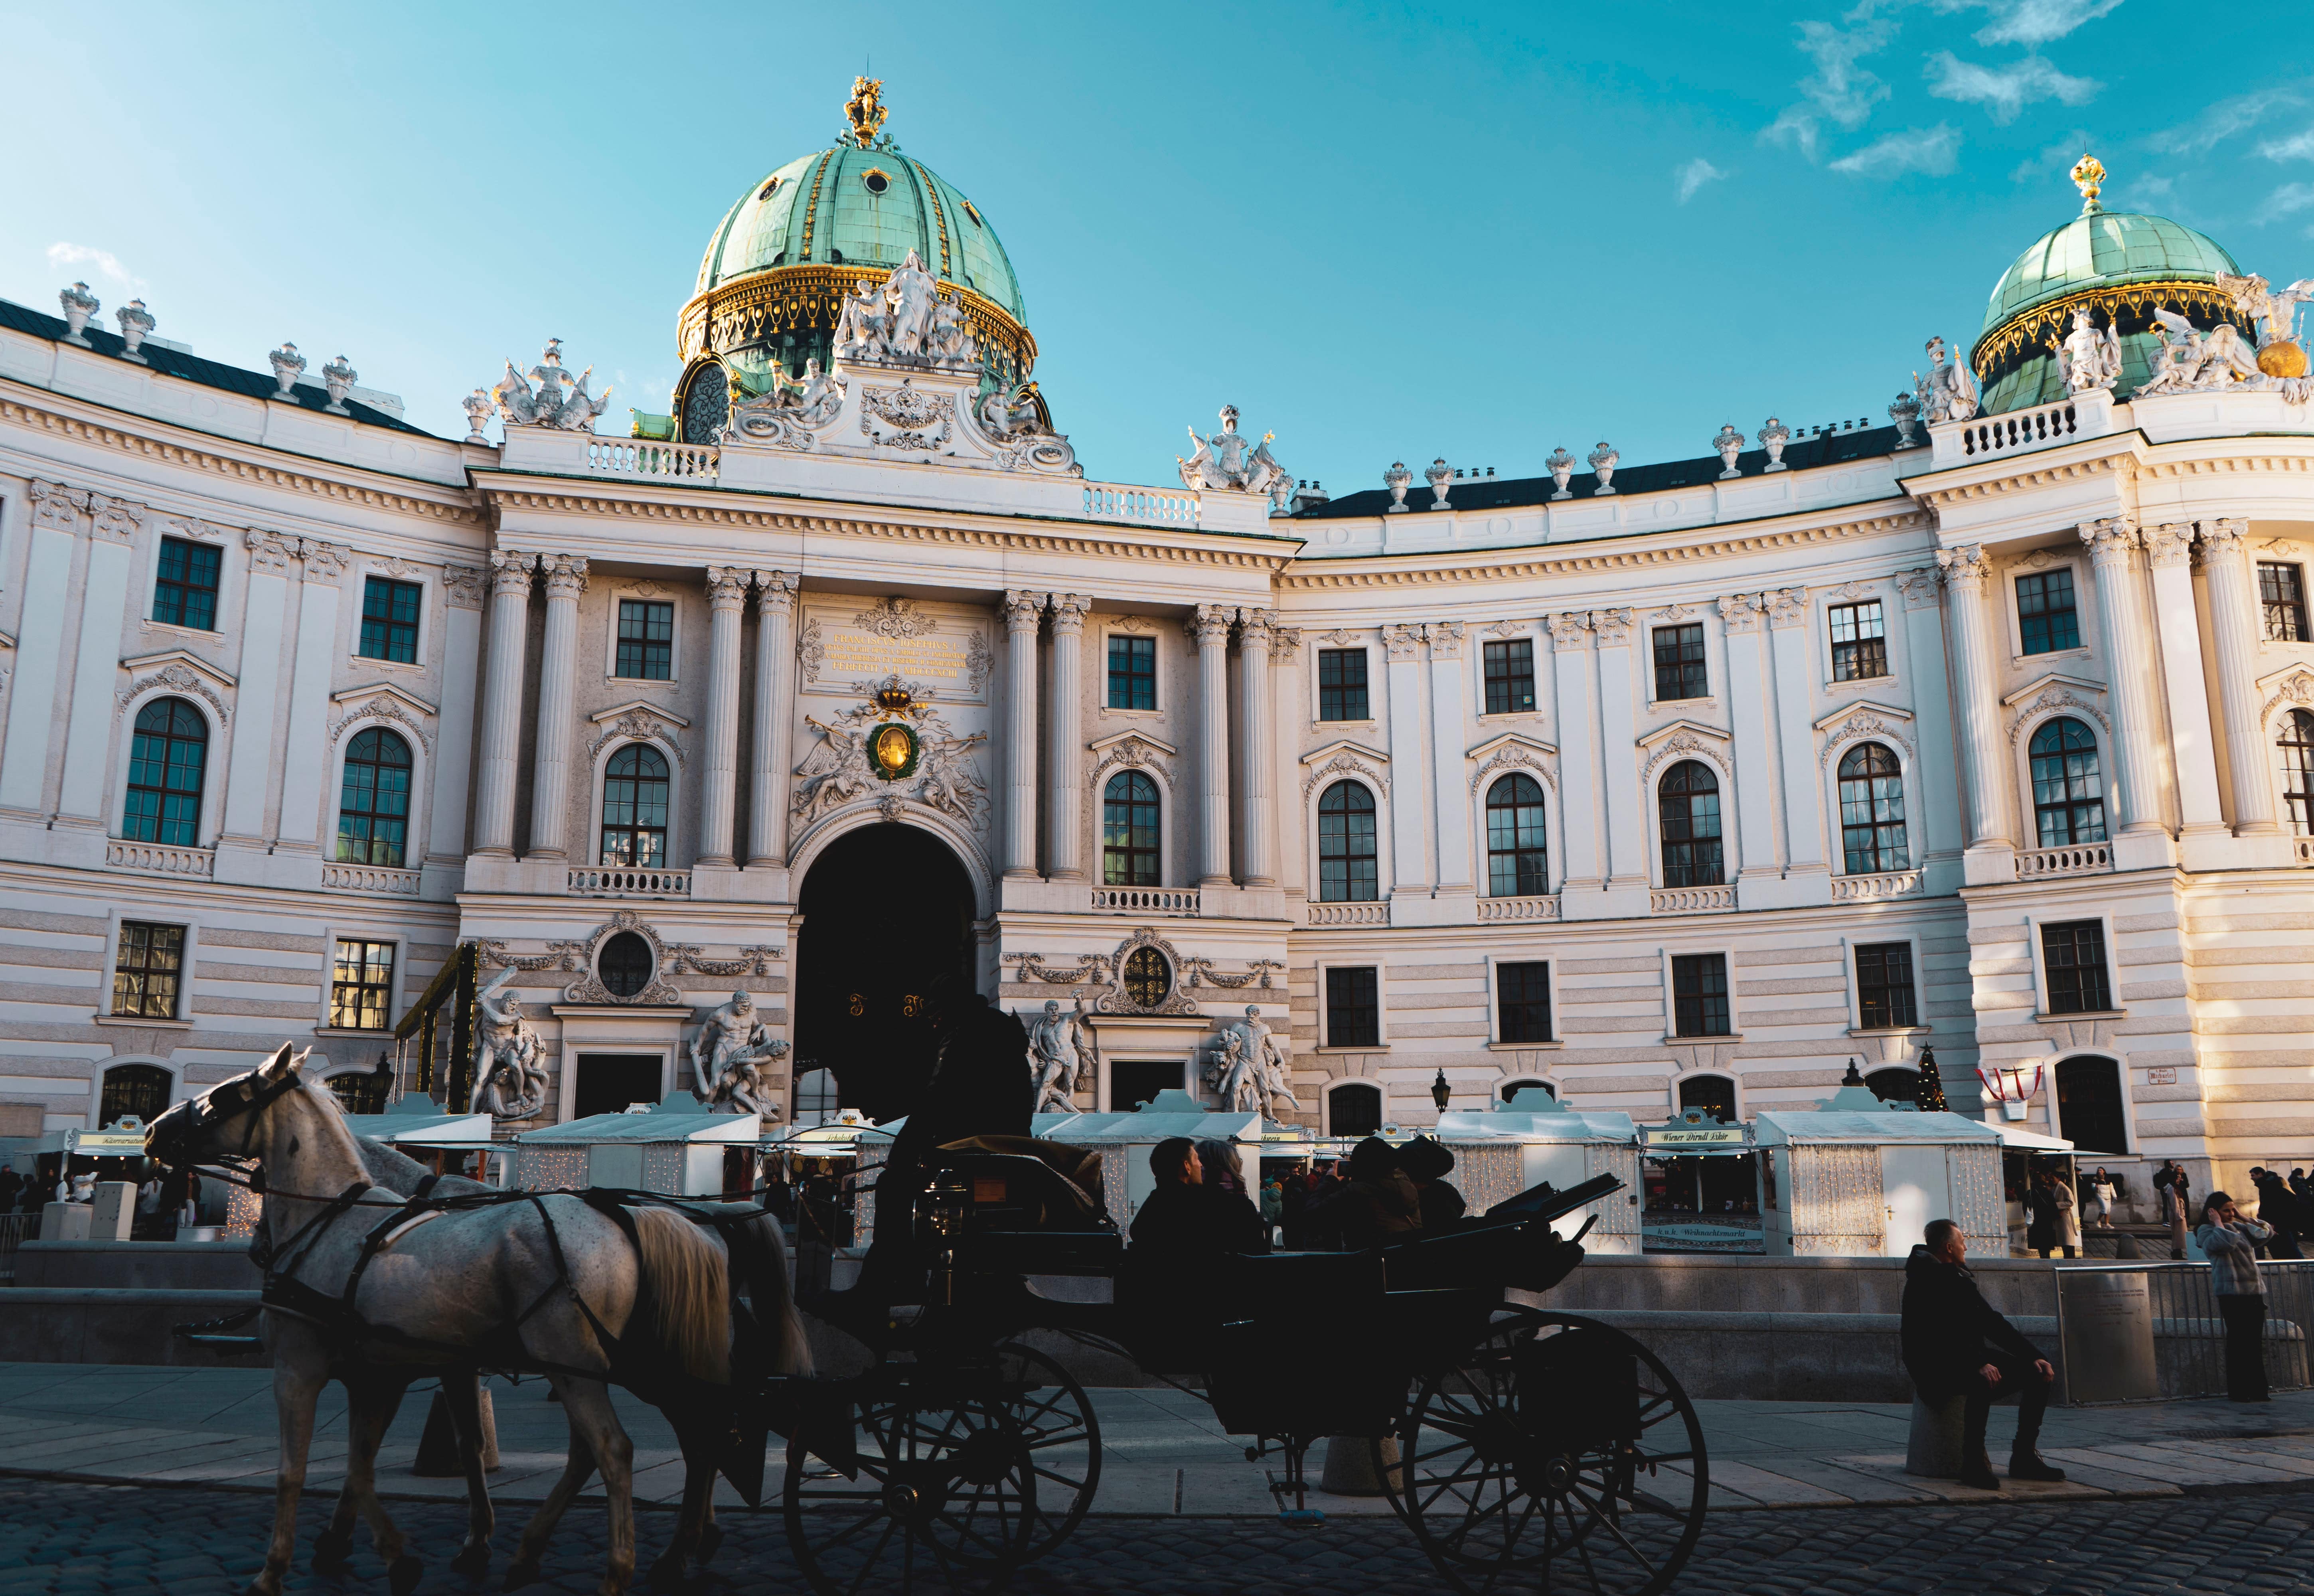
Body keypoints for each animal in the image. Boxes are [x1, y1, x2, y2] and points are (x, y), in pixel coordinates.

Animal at [144, 1045, 810, 1591]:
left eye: (224, 1096)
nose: (152, 1132)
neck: (339, 1218)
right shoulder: (394, 1369)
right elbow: (374, 1460)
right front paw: (391, 1548)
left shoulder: (308, 1367)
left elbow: (308, 1467)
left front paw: (287, 1564)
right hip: (608, 1364)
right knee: (671, 1439)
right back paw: (637, 1548)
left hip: (596, 1362)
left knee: (632, 1445)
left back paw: (632, 1563)